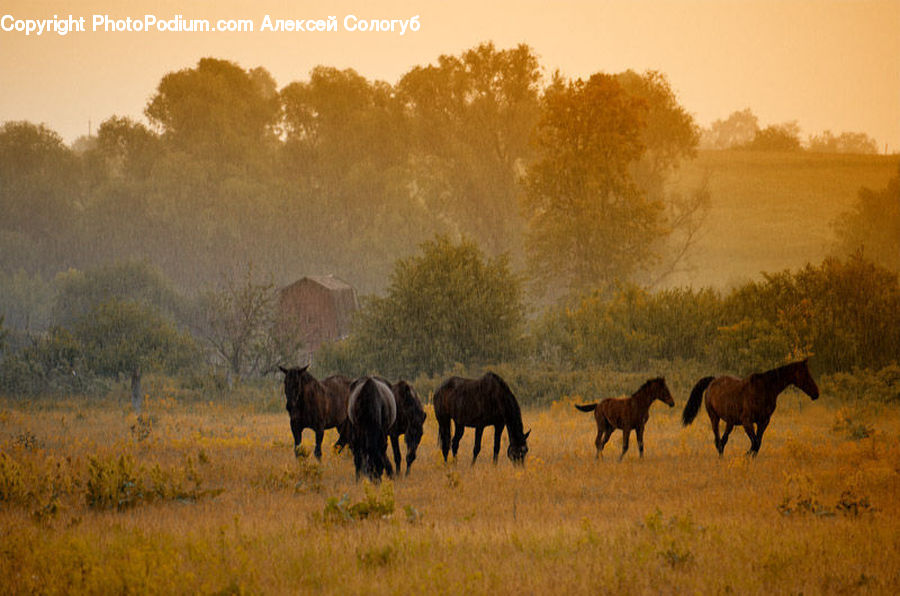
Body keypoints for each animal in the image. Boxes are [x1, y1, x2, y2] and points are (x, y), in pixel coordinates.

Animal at [681, 359, 819, 456]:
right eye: (805, 374)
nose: (816, 393)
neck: (764, 389)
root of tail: (712, 381)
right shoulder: (747, 422)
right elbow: (755, 443)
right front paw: (746, 455)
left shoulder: (763, 422)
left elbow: (758, 444)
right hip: (714, 417)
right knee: (718, 441)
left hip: (730, 422)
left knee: (723, 441)